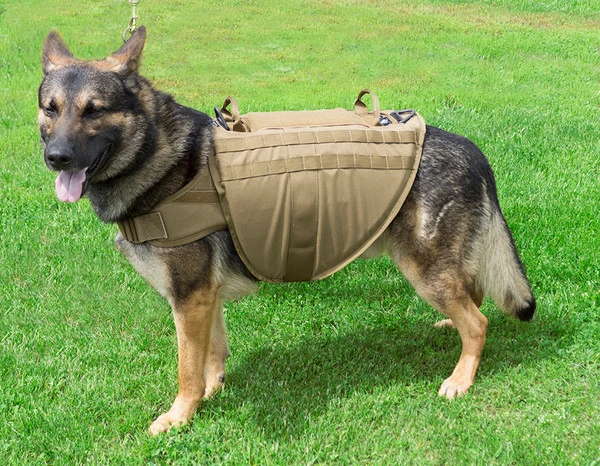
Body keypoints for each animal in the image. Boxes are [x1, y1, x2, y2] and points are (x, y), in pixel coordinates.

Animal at [38, 26, 535, 435]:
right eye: (50, 109)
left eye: (94, 111)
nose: (56, 157)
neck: (154, 153)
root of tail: (474, 150)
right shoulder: (205, 299)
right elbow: (212, 352)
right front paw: (213, 390)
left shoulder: (189, 298)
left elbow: (186, 368)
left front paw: (180, 415)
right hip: (438, 268)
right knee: (472, 294)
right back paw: (449, 327)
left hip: (423, 268)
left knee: (479, 322)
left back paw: (461, 378)